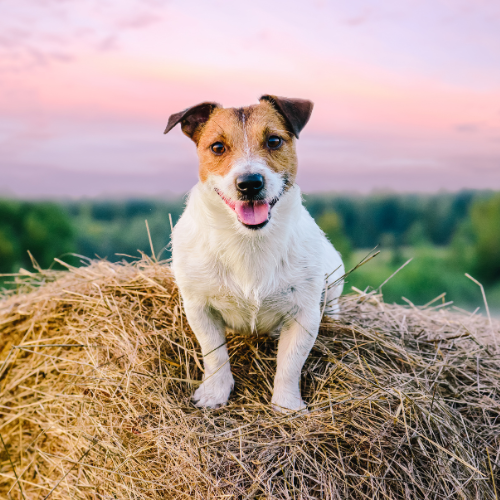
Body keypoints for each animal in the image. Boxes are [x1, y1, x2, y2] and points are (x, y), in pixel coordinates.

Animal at [164, 94, 344, 410]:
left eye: (273, 141)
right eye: (218, 147)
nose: (249, 183)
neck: (249, 241)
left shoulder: (304, 314)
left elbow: (290, 363)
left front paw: (286, 405)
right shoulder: (200, 309)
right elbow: (215, 355)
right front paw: (214, 394)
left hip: (334, 277)